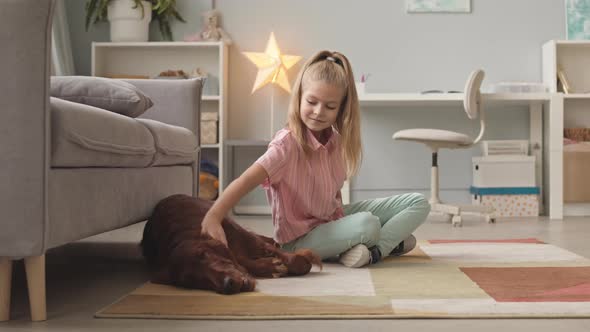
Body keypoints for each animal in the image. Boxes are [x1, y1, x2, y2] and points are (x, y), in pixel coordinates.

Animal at [140, 195, 322, 294]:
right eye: (189, 281)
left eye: (205, 255)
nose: (229, 284)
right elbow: (245, 263)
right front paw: (272, 266)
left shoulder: (243, 237)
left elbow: (289, 258)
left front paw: (300, 259)